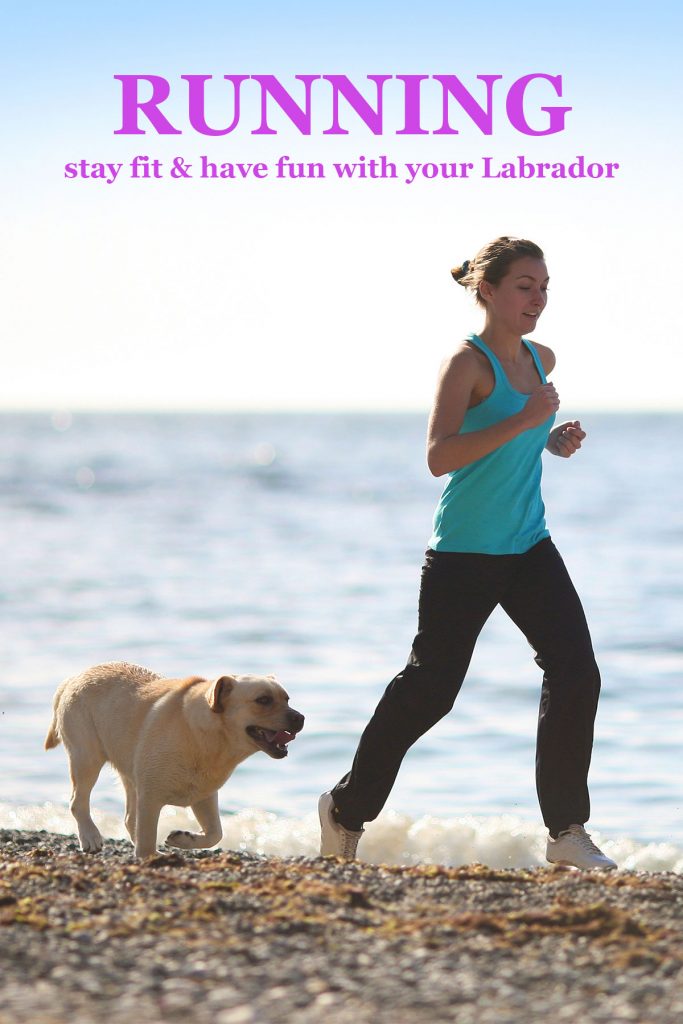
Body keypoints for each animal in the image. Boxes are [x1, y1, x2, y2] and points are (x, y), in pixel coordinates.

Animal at [45, 663, 305, 856]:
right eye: (263, 700)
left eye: (287, 699)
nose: (301, 718)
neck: (208, 736)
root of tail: (73, 678)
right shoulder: (150, 797)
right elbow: (147, 838)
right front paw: (150, 857)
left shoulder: (204, 795)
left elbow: (216, 833)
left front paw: (182, 839)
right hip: (86, 757)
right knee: (78, 801)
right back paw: (90, 836)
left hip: (128, 771)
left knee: (129, 818)